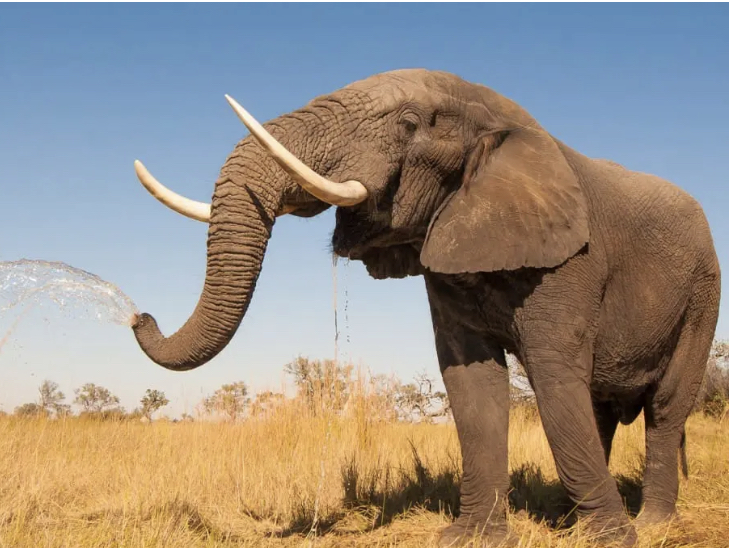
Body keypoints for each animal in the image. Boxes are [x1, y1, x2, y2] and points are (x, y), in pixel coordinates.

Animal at [129, 69, 721, 546]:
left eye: (410, 123)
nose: (139, 315)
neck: (501, 117)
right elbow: (472, 382)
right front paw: (470, 536)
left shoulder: (573, 261)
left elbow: (554, 377)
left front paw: (611, 540)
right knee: (599, 407)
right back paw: (577, 517)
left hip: (704, 295)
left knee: (664, 406)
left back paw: (649, 525)